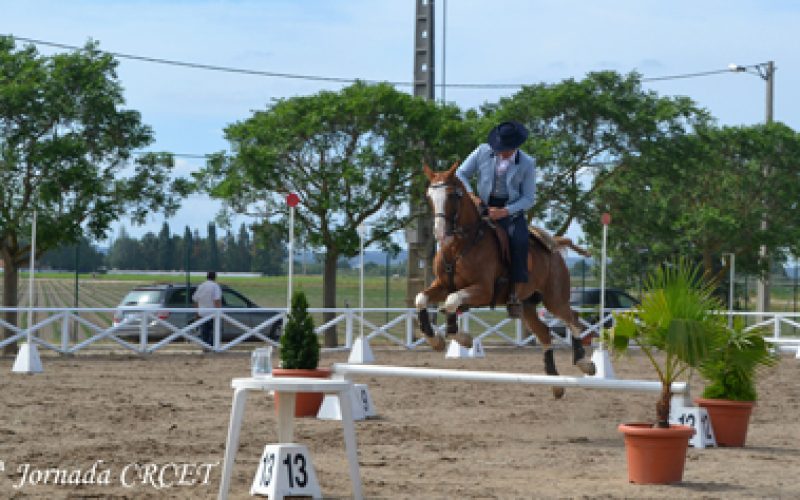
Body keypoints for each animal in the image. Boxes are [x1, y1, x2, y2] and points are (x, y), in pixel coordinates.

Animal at [416, 162, 596, 396]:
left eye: (452, 195)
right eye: (429, 196)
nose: (439, 233)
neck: (460, 246)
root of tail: (554, 245)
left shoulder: (483, 291)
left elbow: (452, 301)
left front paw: (463, 339)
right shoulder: (443, 285)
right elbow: (423, 298)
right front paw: (435, 339)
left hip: (554, 299)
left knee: (572, 318)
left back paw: (584, 362)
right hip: (527, 305)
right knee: (545, 333)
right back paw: (555, 383)